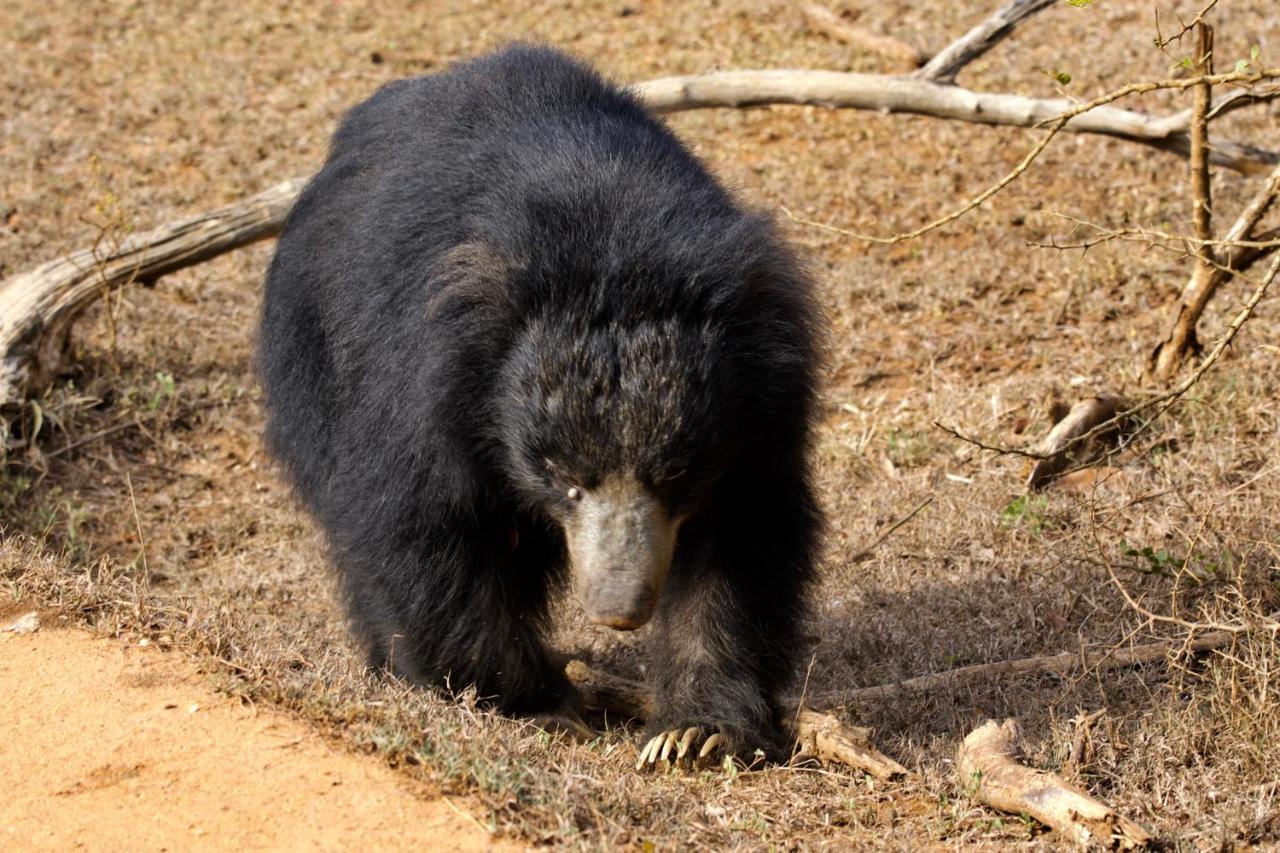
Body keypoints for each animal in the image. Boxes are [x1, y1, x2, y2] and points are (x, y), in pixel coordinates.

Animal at [257, 44, 819, 763]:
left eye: (674, 477)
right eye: (566, 479)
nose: (618, 609)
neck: (612, 249)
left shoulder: (761, 412)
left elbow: (745, 539)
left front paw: (694, 732)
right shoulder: (423, 388)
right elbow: (424, 522)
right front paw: (536, 704)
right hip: (313, 356)